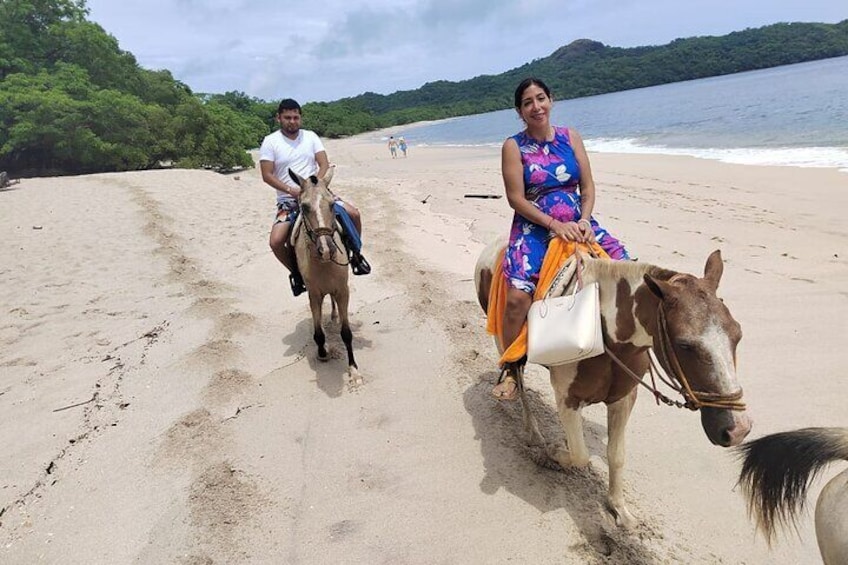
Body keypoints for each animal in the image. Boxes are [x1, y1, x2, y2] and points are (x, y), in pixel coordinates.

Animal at [288, 169, 362, 388]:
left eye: (331, 204)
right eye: (304, 206)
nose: (327, 249)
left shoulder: (343, 291)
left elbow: (346, 333)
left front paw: (353, 370)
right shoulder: (314, 294)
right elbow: (318, 332)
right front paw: (323, 352)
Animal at [474, 236, 752, 528]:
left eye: (738, 334)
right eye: (685, 345)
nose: (738, 429)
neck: (606, 332)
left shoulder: (623, 398)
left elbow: (616, 455)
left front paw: (620, 509)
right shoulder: (567, 399)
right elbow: (579, 455)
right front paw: (551, 451)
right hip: (503, 340)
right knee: (518, 376)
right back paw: (532, 429)